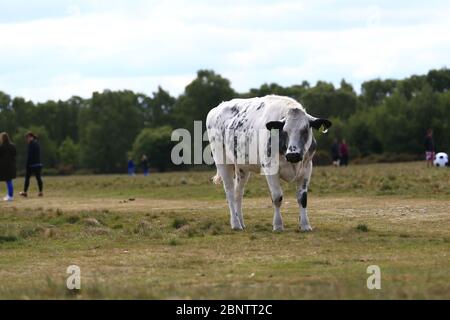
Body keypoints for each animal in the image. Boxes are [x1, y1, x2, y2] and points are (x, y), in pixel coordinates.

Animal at [207, 95, 330, 232]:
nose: (293, 154)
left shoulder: (307, 168)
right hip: (222, 161)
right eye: (285, 131)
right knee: (229, 192)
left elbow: (302, 198)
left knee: (238, 192)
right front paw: (278, 225)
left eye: (305, 130)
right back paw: (235, 223)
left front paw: (305, 225)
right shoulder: (270, 168)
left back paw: (241, 222)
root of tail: (217, 107)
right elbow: (277, 196)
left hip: (242, 167)